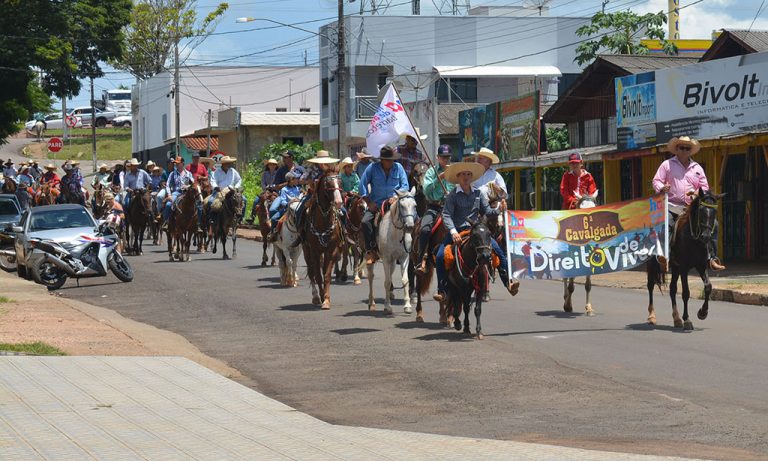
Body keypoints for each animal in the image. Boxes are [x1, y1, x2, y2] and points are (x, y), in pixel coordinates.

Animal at [302, 172, 344, 310]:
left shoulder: (330, 250)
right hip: (306, 250)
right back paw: (316, 297)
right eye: (328, 184)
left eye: (340, 183)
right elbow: (318, 276)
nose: (338, 202)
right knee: (311, 272)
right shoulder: (314, 251)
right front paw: (320, 296)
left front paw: (326, 299)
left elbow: (326, 274)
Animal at [646, 189, 724, 330]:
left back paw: (676, 319)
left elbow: (708, 287)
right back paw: (652, 316)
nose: (705, 236)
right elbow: (686, 293)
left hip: (675, 267)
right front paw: (687, 320)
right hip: (652, 264)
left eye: (714, 212)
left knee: (672, 289)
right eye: (701, 211)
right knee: (650, 286)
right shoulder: (684, 267)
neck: (694, 239)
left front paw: (702, 313)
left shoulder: (701, 265)